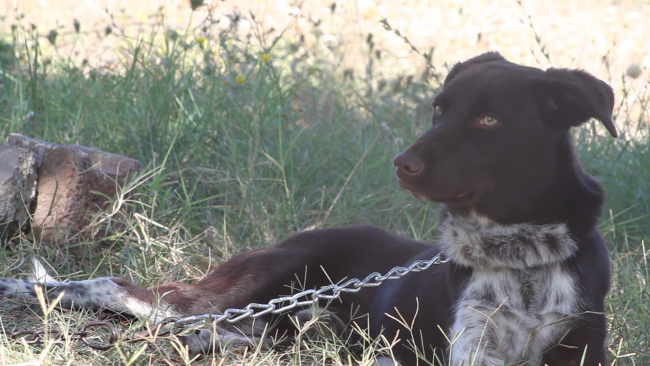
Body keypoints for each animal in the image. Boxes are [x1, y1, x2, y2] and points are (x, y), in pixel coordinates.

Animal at [0, 52, 612, 366]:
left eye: (489, 119)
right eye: (439, 109)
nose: (402, 163)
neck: (519, 255)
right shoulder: (466, 352)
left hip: (272, 320)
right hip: (237, 288)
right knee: (121, 288)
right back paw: (27, 289)